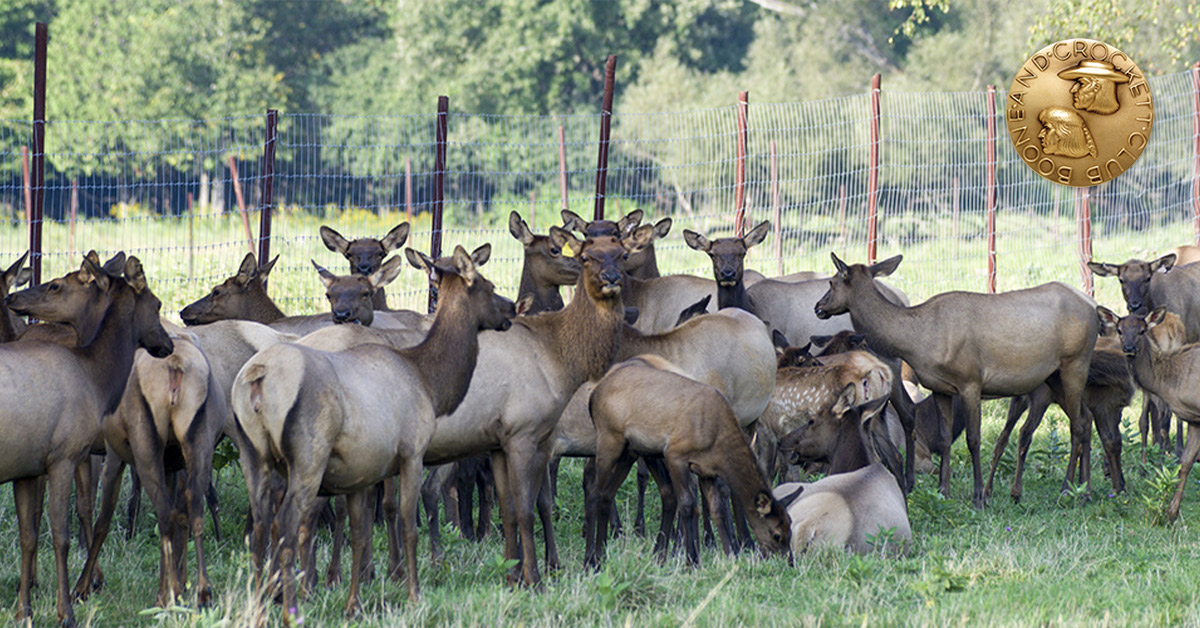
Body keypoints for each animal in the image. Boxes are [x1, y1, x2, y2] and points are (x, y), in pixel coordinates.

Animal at [2, 251, 173, 628]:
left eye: (55, 285)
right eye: (156, 303)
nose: (167, 344)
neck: (95, 375)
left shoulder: (29, 466)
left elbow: (29, 535)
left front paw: (24, 609)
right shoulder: (64, 456)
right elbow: (63, 535)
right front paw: (65, 610)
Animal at [231, 244, 512, 615]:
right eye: (490, 287)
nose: (513, 308)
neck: (429, 380)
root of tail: (257, 378)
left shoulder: (362, 470)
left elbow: (361, 531)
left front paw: (356, 599)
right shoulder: (411, 452)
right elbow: (408, 524)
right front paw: (412, 590)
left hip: (255, 456)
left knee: (260, 526)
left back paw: (264, 601)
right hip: (308, 459)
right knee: (288, 524)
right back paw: (292, 601)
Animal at [584, 354, 791, 568]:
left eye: (790, 530)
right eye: (776, 535)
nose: (789, 562)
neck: (718, 441)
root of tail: (593, 396)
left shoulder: (707, 471)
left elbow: (716, 508)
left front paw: (729, 555)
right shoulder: (675, 454)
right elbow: (687, 503)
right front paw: (691, 561)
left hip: (629, 452)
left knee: (607, 494)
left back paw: (604, 555)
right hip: (609, 439)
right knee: (594, 490)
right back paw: (591, 560)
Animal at [815, 253, 1098, 508]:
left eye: (832, 281)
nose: (818, 307)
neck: (916, 342)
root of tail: (1093, 306)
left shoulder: (970, 381)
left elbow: (973, 439)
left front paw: (978, 497)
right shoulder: (941, 388)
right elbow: (943, 438)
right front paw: (943, 491)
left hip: (1076, 363)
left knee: (1077, 426)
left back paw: (1067, 490)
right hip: (1053, 378)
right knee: (1085, 418)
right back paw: (1084, 491)